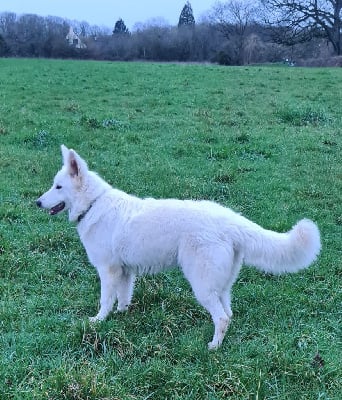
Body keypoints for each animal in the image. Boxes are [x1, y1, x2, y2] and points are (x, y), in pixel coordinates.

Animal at [36, 145, 320, 348]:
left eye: (58, 186)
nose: (37, 202)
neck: (93, 203)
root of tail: (230, 219)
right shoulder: (125, 272)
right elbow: (123, 297)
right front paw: (121, 316)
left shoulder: (108, 270)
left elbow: (105, 299)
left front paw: (98, 321)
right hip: (221, 285)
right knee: (229, 313)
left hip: (202, 285)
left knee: (221, 317)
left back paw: (213, 347)